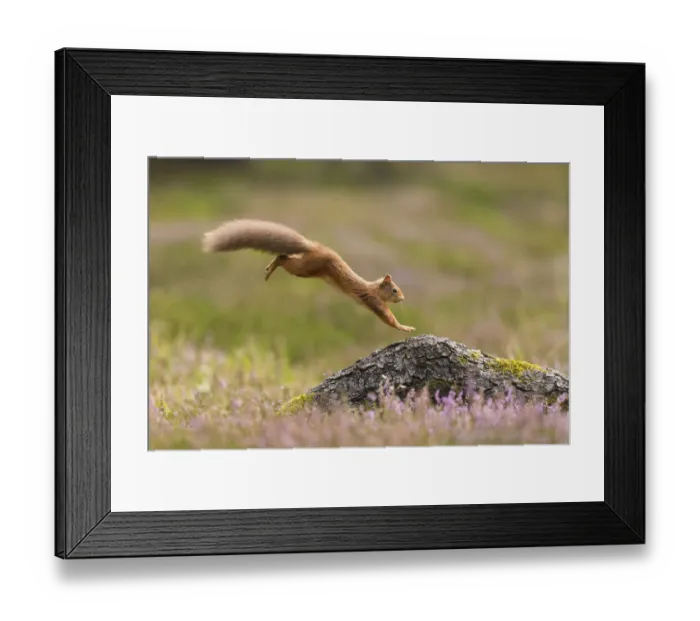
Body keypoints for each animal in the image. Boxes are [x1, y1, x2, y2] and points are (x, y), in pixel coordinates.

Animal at [202, 219, 416, 333]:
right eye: (395, 290)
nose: (403, 298)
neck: (374, 288)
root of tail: (313, 246)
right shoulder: (373, 300)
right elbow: (389, 319)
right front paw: (406, 328)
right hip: (304, 269)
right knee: (282, 258)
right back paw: (271, 269)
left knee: (283, 256)